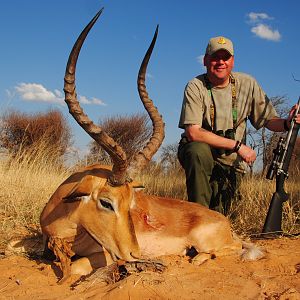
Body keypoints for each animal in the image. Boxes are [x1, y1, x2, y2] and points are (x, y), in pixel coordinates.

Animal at [39, 8, 264, 282]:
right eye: (106, 202)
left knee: (234, 248)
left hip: (209, 242)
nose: (135, 254)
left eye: (131, 204)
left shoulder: (105, 255)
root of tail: (224, 222)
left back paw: (195, 257)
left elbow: (75, 267)